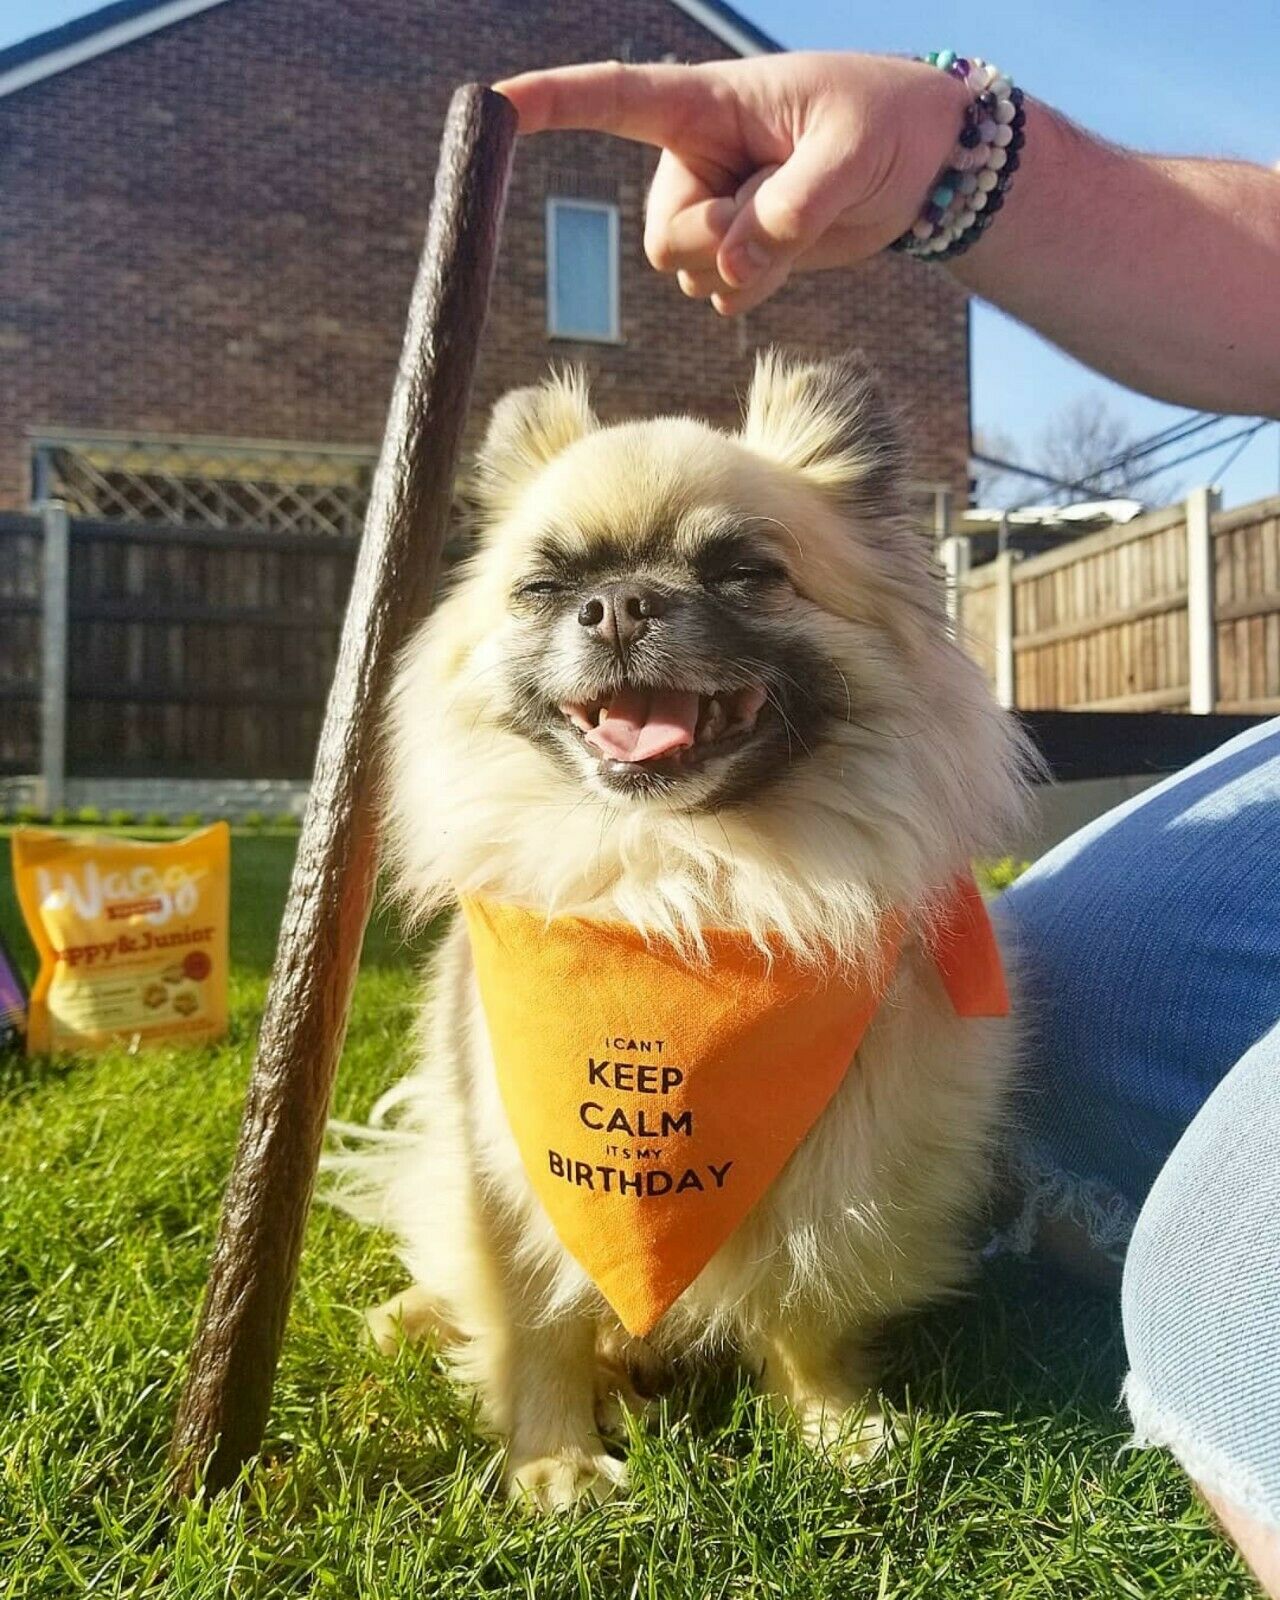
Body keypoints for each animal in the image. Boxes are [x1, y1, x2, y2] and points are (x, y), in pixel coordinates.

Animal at [332, 350, 1030, 1510]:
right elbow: (534, 1322)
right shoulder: (509, 1166)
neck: (678, 887)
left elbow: (807, 1304)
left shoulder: (839, 1161)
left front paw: (830, 1426)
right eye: (542, 588)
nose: (617, 604)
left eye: (744, 572)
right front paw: (554, 1460)